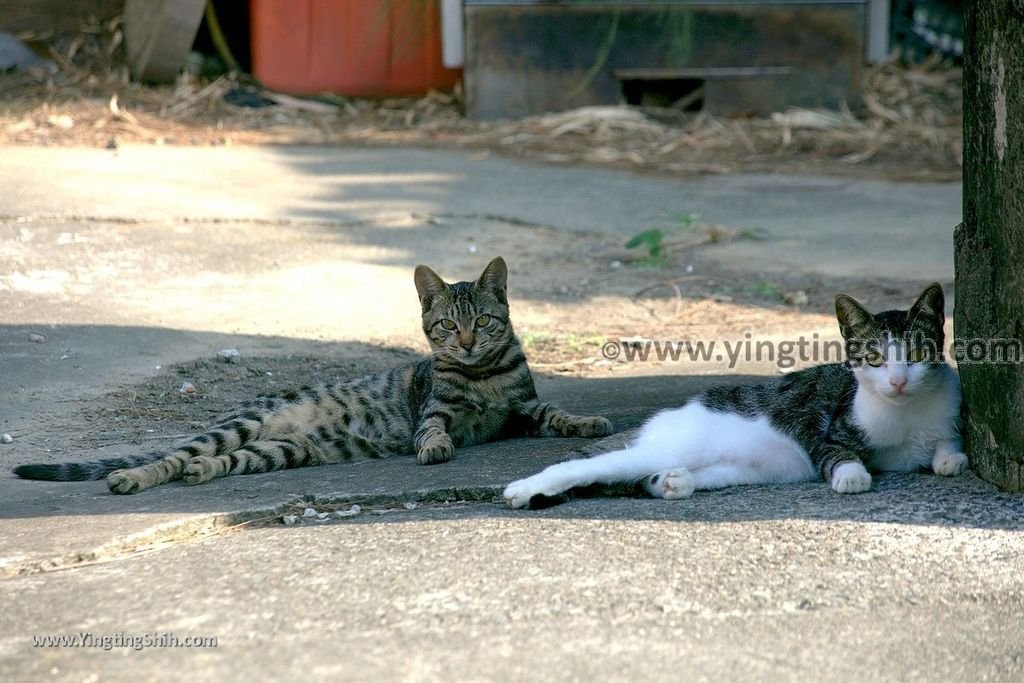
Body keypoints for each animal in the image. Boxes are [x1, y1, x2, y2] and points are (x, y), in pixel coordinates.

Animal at [16, 259, 610, 493]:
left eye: (483, 321)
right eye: (447, 325)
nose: (465, 343)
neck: (481, 373)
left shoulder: (521, 408)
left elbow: (556, 411)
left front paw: (588, 422)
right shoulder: (436, 409)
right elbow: (433, 429)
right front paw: (437, 448)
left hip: (284, 450)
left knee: (217, 460)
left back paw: (202, 473)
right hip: (240, 426)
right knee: (175, 455)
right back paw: (134, 476)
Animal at [503, 280, 966, 509]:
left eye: (917, 354)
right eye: (873, 358)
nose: (899, 382)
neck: (905, 413)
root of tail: (664, 416)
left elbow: (946, 441)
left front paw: (950, 459)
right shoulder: (828, 431)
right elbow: (838, 453)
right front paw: (852, 476)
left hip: (748, 468)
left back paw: (670, 483)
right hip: (678, 445)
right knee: (583, 467)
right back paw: (523, 490)